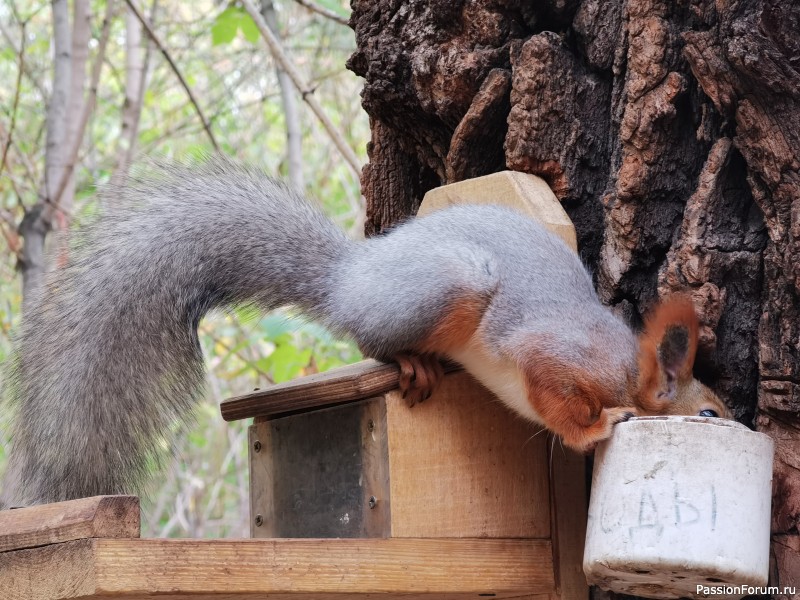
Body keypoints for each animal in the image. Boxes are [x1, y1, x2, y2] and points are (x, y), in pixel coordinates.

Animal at [0, 158, 732, 506]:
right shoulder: (556, 354)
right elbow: (554, 396)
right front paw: (597, 426)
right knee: (367, 336)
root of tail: (352, 275)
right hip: (449, 287)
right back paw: (408, 361)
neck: (625, 365)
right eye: (710, 413)